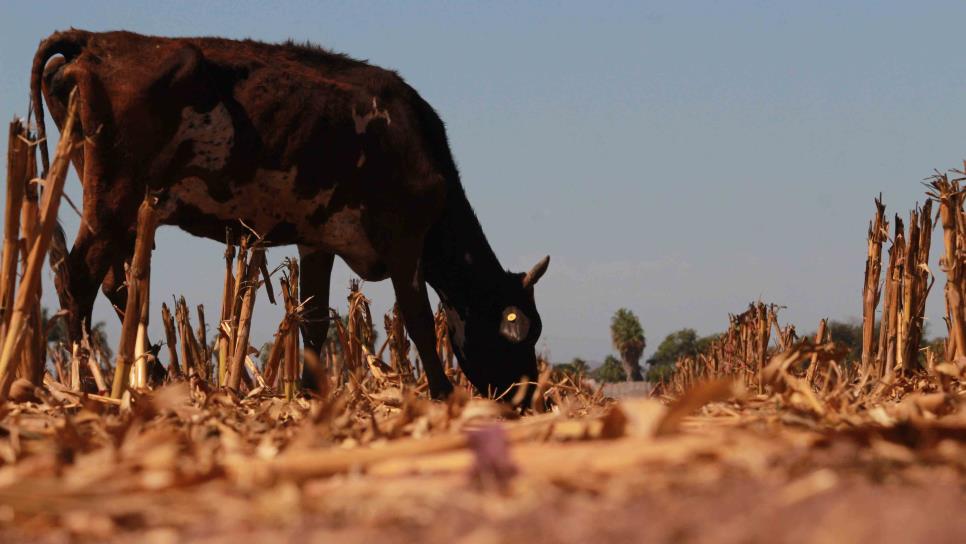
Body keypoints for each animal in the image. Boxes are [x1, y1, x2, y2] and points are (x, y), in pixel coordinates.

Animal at [30, 28, 548, 400]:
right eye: (519, 335)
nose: (528, 401)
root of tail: (95, 40)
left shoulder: (318, 239)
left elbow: (315, 320)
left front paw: (311, 395)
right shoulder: (404, 241)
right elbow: (418, 317)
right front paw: (441, 394)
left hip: (109, 201)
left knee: (116, 284)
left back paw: (152, 377)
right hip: (112, 197)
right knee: (77, 277)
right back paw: (86, 381)